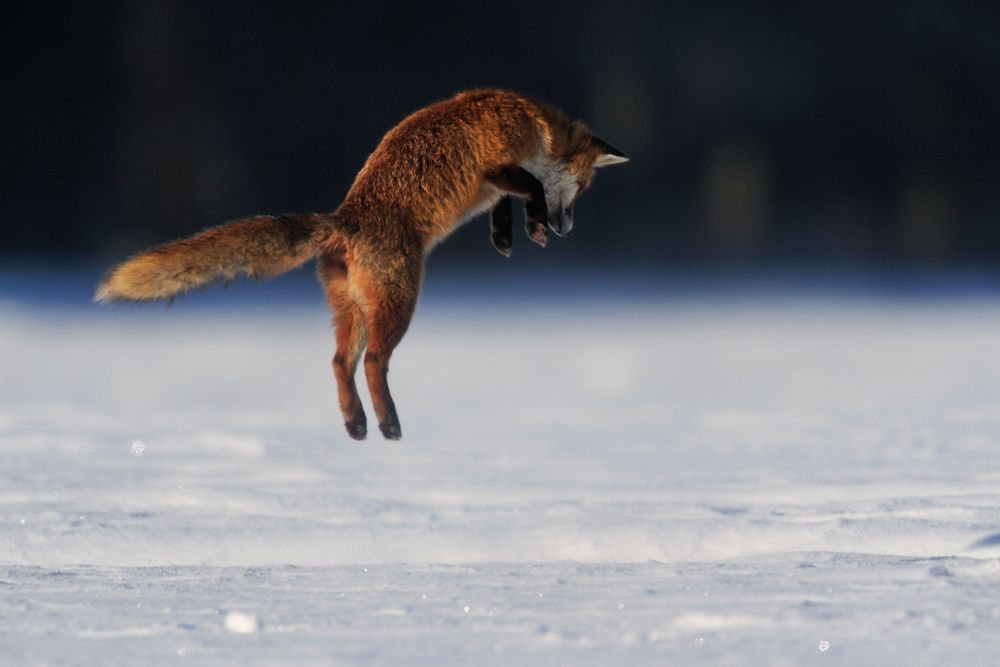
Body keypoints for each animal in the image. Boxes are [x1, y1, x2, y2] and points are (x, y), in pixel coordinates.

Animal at [94, 90, 624, 444]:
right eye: (584, 188)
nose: (566, 230)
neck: (533, 124)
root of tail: (343, 220)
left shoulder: (496, 183)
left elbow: (504, 204)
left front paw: (506, 237)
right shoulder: (496, 165)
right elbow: (528, 186)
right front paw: (532, 226)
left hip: (352, 310)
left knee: (337, 362)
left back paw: (356, 422)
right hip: (399, 301)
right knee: (372, 362)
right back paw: (389, 423)